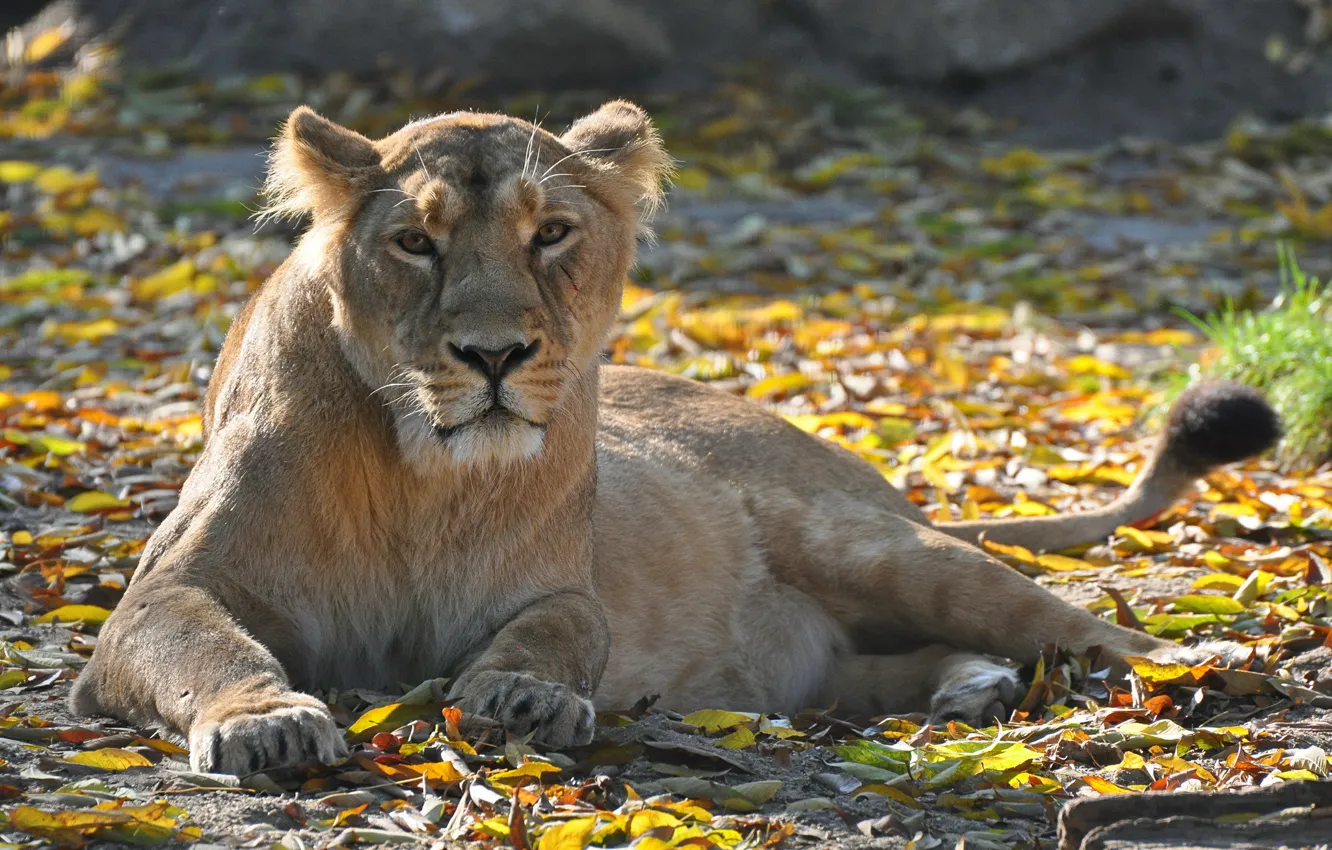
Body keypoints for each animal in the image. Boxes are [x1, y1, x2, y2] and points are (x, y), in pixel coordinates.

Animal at [70, 101, 1281, 776]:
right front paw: (266, 723)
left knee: (1091, 630)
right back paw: (972, 688)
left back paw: (1209, 669)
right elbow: (209, 646)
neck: (424, 475)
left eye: (552, 234)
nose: (494, 355)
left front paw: (521, 698)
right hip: (813, 658)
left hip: (879, 548)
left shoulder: (558, 588)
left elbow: (557, 633)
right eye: (415, 241)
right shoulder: (163, 593)